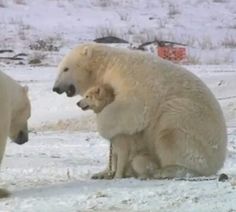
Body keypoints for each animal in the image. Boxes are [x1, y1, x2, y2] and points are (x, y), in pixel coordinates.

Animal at [53, 43, 227, 179]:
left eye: (66, 69)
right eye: (60, 68)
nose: (55, 88)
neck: (109, 64)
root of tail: (219, 160)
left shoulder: (129, 80)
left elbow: (132, 109)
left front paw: (103, 125)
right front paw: (101, 173)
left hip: (193, 122)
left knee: (171, 129)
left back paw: (167, 170)